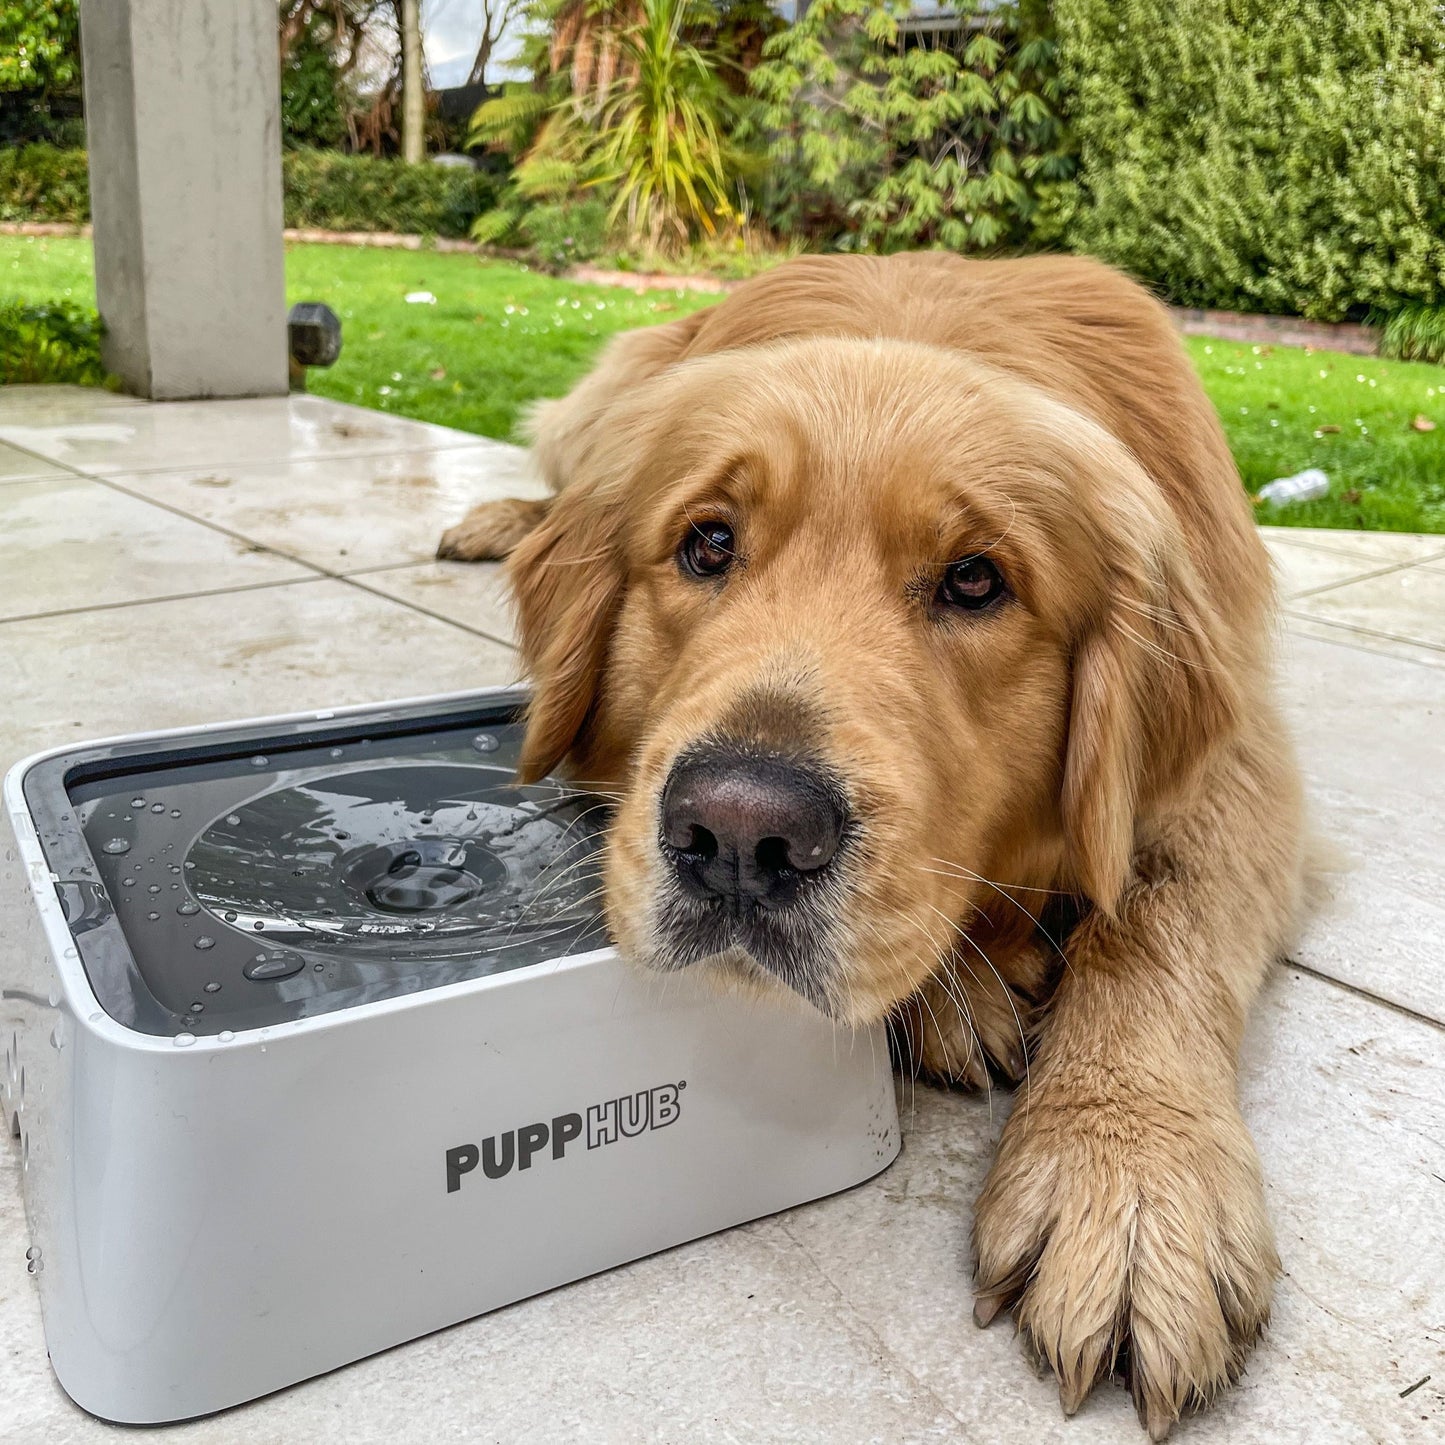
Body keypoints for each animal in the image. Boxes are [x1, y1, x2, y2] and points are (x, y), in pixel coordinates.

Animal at [433, 254, 1306, 1439]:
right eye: (707, 543)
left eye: (975, 579)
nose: (739, 830)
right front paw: (960, 996)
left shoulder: (1236, 758)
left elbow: (1151, 914)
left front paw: (1126, 1174)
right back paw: (504, 517)